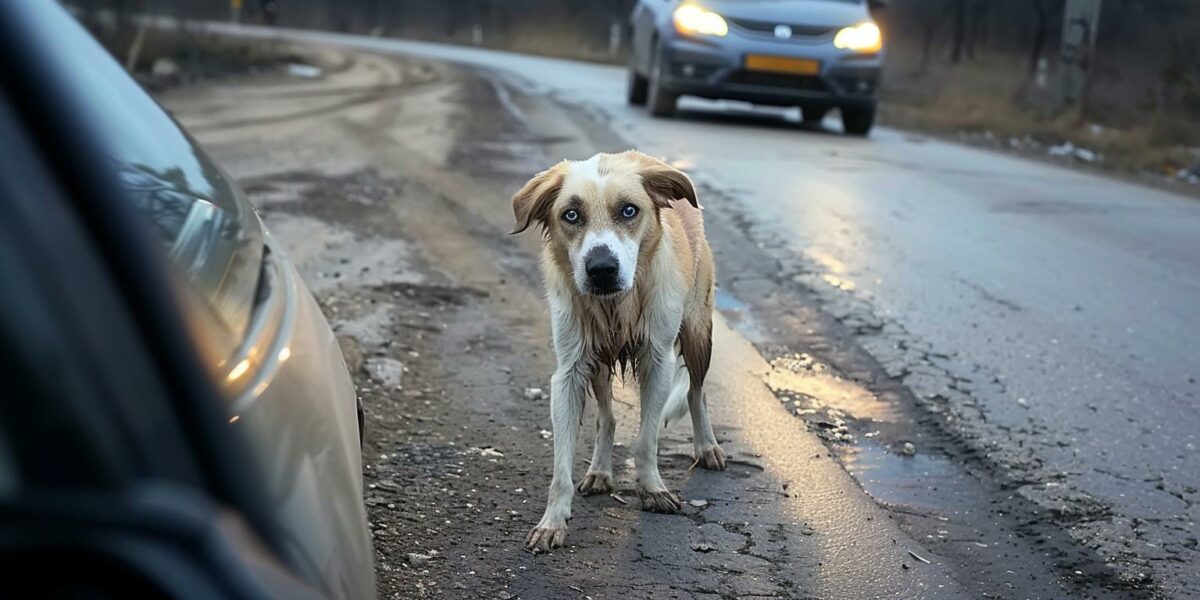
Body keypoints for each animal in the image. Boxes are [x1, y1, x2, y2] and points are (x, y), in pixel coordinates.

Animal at [506, 151, 720, 552]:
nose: (602, 269)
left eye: (629, 210)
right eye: (571, 215)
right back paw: (600, 470)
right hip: (598, 363)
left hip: (699, 334)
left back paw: (707, 446)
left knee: (696, 393)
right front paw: (552, 521)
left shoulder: (658, 362)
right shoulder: (569, 373)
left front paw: (652, 489)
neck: (615, 306)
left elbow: (646, 441)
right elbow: (562, 466)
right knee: (607, 417)